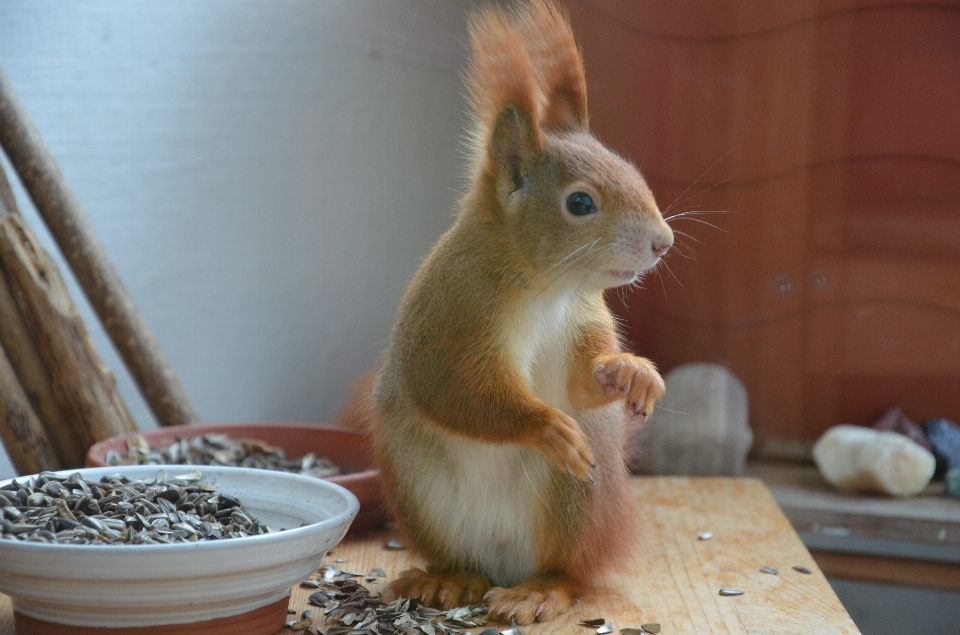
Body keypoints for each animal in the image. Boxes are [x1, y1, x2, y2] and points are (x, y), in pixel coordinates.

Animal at [368, 0, 676, 628]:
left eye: (631, 170)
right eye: (580, 202)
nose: (664, 243)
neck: (546, 289)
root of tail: (502, 563)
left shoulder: (582, 319)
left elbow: (582, 388)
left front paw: (632, 371)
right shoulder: (454, 316)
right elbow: (456, 391)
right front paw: (544, 426)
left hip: (576, 500)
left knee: (568, 573)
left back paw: (537, 591)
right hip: (418, 488)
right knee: (468, 561)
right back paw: (450, 580)